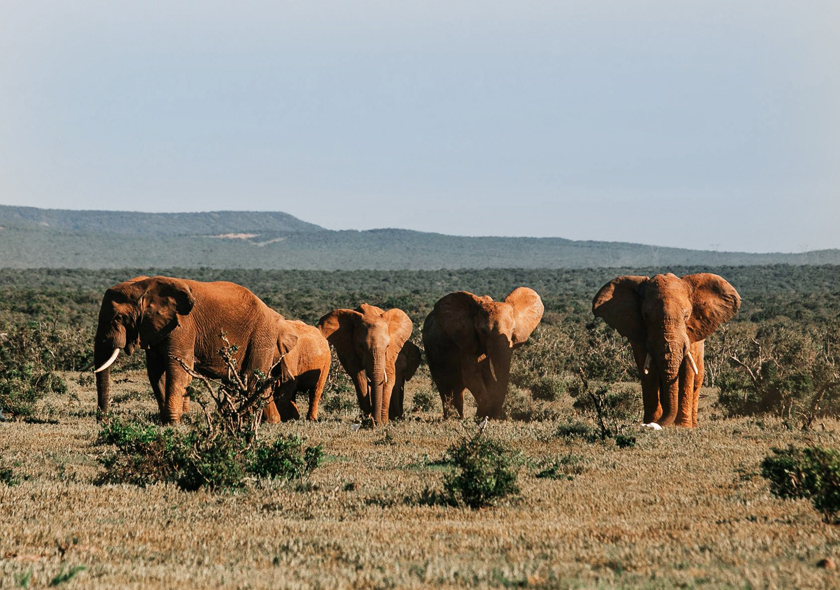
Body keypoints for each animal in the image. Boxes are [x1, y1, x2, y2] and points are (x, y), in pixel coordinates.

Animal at [91, 276, 296, 424]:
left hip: (262, 334)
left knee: (254, 378)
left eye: (118, 318)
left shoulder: (183, 325)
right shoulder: (154, 328)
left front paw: (172, 423)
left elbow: (177, 366)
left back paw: (261, 421)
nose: (103, 420)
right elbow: (155, 370)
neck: (144, 285)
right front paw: (165, 420)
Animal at [420, 288, 544, 420]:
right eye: (483, 331)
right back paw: (450, 417)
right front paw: (480, 416)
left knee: (458, 387)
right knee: (443, 385)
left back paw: (459, 417)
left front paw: (483, 415)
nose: (494, 416)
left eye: (513, 331)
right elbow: (471, 376)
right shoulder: (466, 340)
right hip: (430, 350)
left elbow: (486, 374)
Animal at [592, 272, 740, 430]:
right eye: (646, 316)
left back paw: (692, 424)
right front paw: (652, 421)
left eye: (686, 316)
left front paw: (683, 426)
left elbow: (687, 372)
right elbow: (649, 373)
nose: (650, 425)